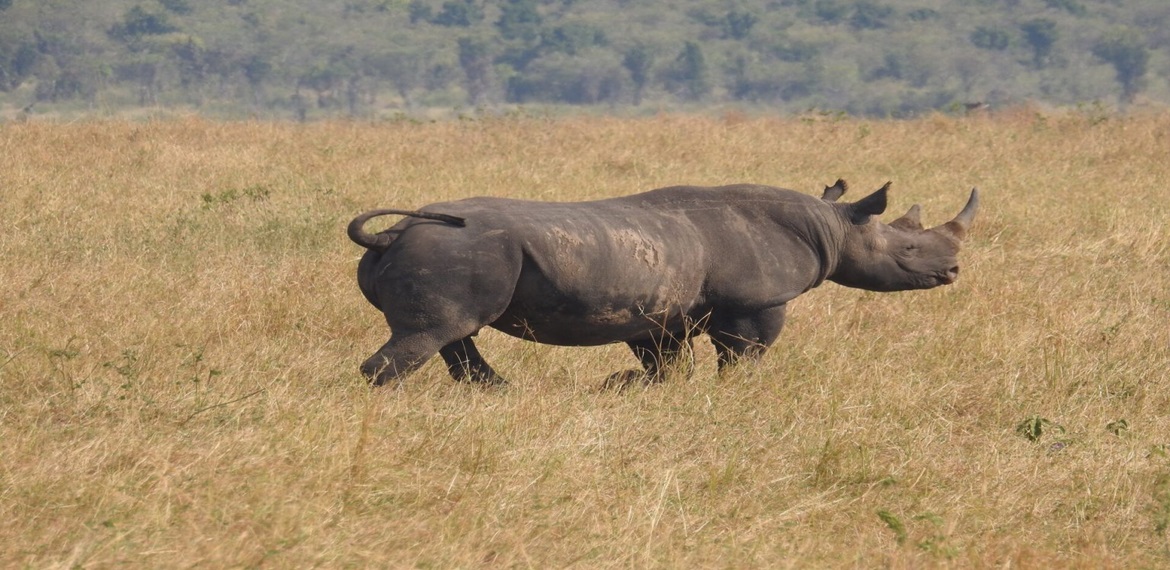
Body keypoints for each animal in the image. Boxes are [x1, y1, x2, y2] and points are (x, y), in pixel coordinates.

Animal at [348, 179, 978, 386]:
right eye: (908, 249)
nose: (951, 272)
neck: (834, 226)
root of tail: (391, 234)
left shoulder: (659, 313)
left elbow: (666, 365)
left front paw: (630, 386)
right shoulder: (757, 300)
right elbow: (745, 354)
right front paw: (736, 395)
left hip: (451, 250)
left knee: (455, 331)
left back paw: (496, 393)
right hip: (456, 250)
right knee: (433, 331)